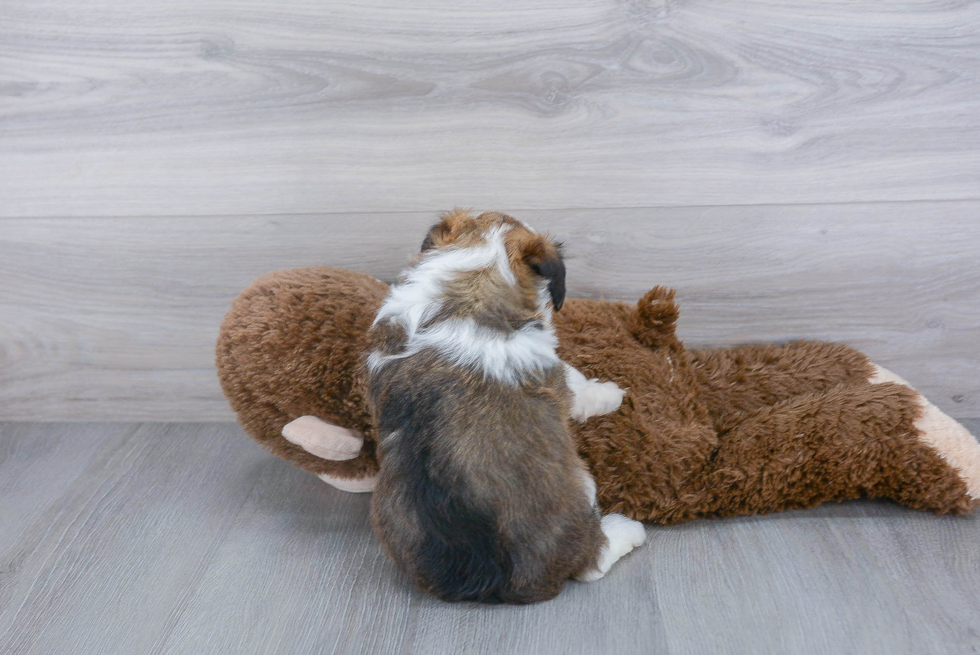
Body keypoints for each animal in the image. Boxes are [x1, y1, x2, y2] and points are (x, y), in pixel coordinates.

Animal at [366, 210, 644, 604]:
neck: (473, 274)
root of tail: (498, 581)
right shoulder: (554, 371)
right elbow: (578, 383)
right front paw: (610, 394)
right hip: (582, 487)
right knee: (593, 561)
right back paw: (627, 531)